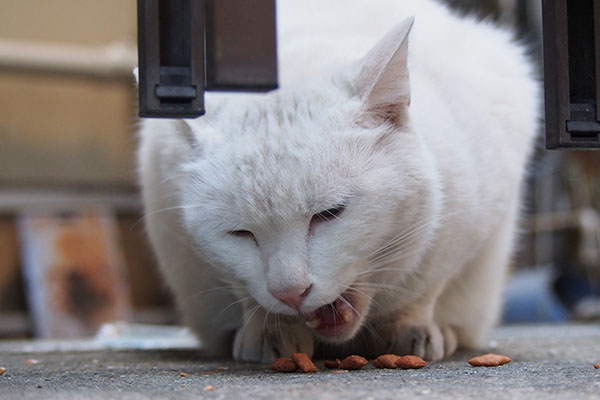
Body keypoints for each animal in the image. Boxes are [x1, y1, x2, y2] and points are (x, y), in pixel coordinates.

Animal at [137, 0, 540, 362]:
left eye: (330, 213)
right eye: (240, 233)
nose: (291, 292)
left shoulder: (466, 226)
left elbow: (422, 289)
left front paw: (410, 328)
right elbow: (248, 295)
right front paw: (268, 331)